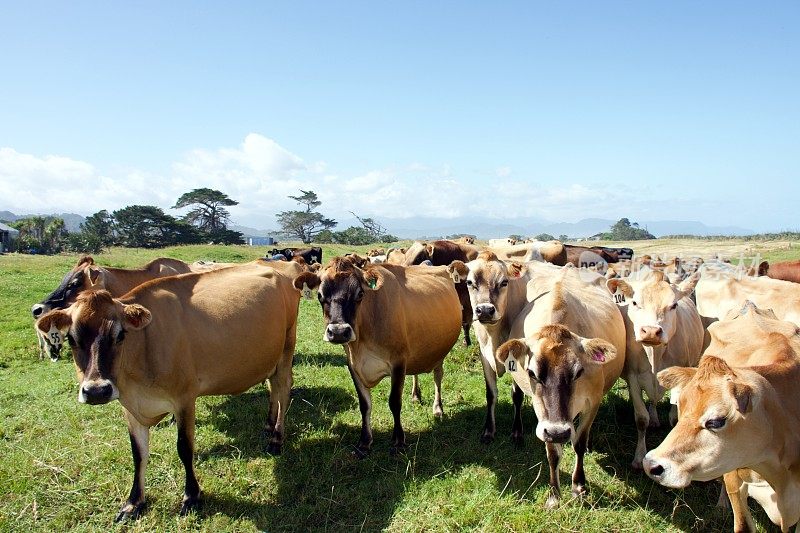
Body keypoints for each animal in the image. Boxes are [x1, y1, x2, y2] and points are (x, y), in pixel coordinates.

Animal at [33, 262, 304, 520]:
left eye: (120, 335)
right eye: (71, 339)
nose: (97, 391)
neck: (143, 347)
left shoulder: (184, 399)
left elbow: (184, 448)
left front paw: (191, 497)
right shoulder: (129, 407)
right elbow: (138, 453)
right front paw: (133, 502)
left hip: (286, 347)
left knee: (283, 389)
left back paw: (276, 438)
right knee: (272, 387)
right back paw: (268, 425)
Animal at [294, 256, 460, 456]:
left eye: (360, 294)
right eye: (319, 295)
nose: (339, 332)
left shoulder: (398, 362)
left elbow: (394, 402)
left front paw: (398, 441)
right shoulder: (353, 366)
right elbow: (364, 405)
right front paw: (365, 441)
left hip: (440, 352)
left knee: (438, 376)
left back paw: (437, 408)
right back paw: (415, 395)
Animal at [608, 270, 700, 466]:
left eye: (674, 305)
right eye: (635, 303)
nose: (650, 331)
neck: (654, 356)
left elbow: (675, 419)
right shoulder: (633, 378)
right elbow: (641, 419)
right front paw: (638, 457)